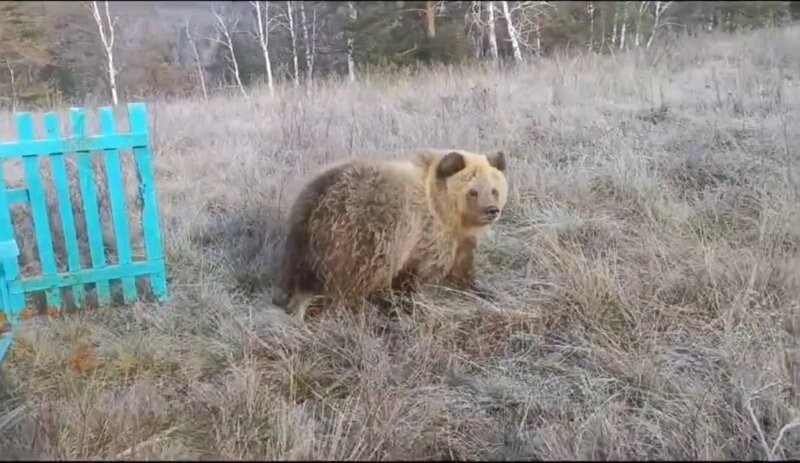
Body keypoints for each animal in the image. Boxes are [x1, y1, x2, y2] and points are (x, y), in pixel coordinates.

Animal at [272, 150, 510, 312]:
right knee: (353, 278)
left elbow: (461, 270)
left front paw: (481, 291)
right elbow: (418, 276)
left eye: (494, 190)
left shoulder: (458, 239)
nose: (492, 210)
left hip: (299, 238)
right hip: (362, 233)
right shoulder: (424, 236)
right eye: (473, 191)